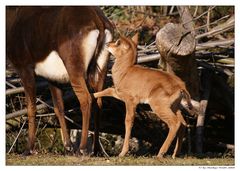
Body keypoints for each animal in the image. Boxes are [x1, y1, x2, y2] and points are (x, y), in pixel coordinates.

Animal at [6, 6, 113, 156]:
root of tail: (97, 19)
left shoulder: (25, 69)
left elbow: (31, 108)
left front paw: (28, 149)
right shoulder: (52, 78)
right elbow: (59, 108)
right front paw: (68, 147)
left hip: (75, 70)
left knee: (86, 99)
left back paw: (82, 148)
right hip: (101, 70)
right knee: (99, 102)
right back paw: (96, 149)